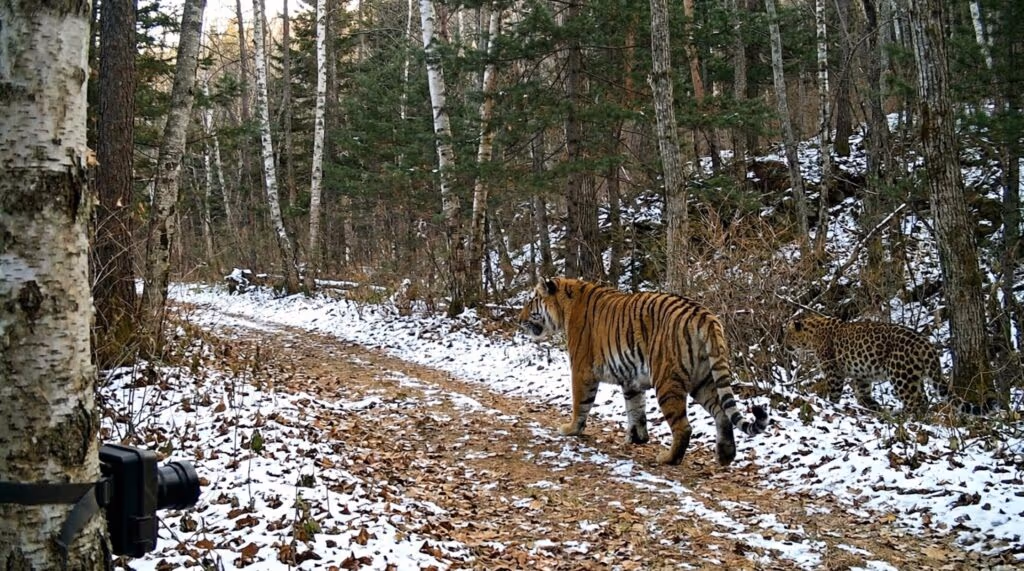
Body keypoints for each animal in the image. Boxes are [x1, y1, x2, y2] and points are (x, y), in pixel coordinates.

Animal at [517, 277, 769, 466]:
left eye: (532, 301)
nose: (519, 320)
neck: (565, 306)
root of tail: (703, 314)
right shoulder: (631, 380)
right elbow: (635, 409)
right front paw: (636, 438)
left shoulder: (582, 370)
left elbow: (581, 403)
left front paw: (571, 429)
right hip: (704, 379)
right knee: (722, 413)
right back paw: (725, 456)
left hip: (667, 380)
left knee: (684, 427)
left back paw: (668, 459)